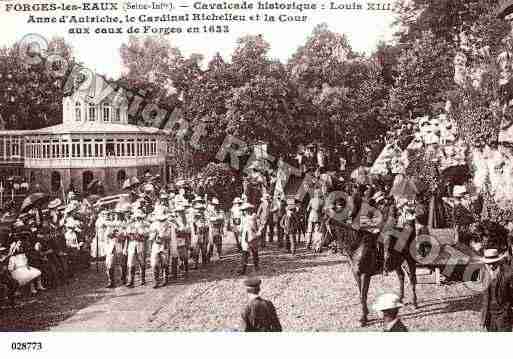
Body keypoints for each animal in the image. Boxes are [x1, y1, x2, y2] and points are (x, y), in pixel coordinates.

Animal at [326, 195, 418, 328]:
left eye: (322, 228)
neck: (357, 245)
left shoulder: (365, 275)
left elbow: (363, 295)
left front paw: (363, 318)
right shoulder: (356, 275)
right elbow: (361, 295)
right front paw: (365, 315)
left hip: (409, 261)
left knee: (412, 280)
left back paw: (415, 303)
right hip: (397, 263)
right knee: (401, 277)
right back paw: (400, 300)